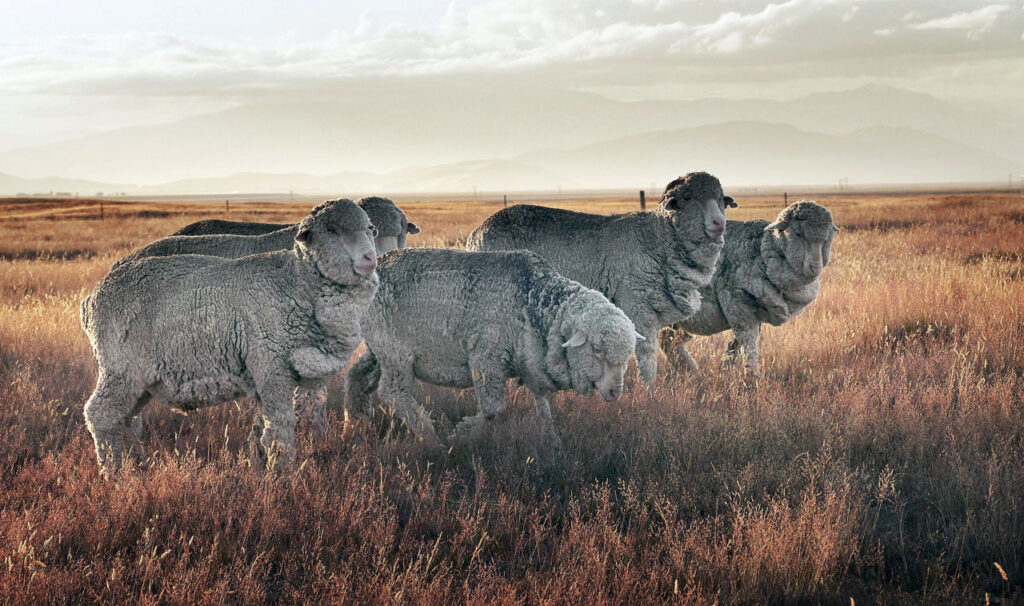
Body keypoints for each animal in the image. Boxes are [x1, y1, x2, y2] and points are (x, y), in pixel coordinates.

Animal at [80, 199, 379, 476]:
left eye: (369, 228)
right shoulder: (271, 366)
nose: (370, 258)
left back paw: (137, 467)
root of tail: (92, 297)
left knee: (126, 419)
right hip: (120, 368)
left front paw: (260, 469)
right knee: (101, 415)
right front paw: (282, 476)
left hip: (140, 380)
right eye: (331, 229)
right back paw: (115, 474)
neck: (295, 283)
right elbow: (280, 427)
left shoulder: (268, 376)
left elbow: (261, 429)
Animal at [345, 248, 644, 449]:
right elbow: (493, 410)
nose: (615, 393)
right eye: (597, 350)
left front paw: (554, 442)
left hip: (378, 347)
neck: (533, 300)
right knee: (393, 391)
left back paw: (353, 424)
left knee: (357, 376)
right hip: (393, 348)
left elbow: (544, 409)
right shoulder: (487, 358)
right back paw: (429, 435)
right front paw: (461, 434)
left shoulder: (531, 364)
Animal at [466, 171, 736, 384]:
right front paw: (649, 390)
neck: (655, 237)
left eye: (721, 199)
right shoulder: (638, 306)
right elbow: (646, 353)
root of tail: (475, 234)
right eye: (688, 198)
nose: (719, 223)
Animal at [670, 201, 839, 375]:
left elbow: (736, 344)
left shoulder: (752, 312)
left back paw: (689, 370)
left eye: (827, 237)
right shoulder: (735, 301)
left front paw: (726, 368)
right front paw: (753, 375)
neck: (762, 252)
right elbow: (748, 340)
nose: (815, 267)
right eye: (798, 233)